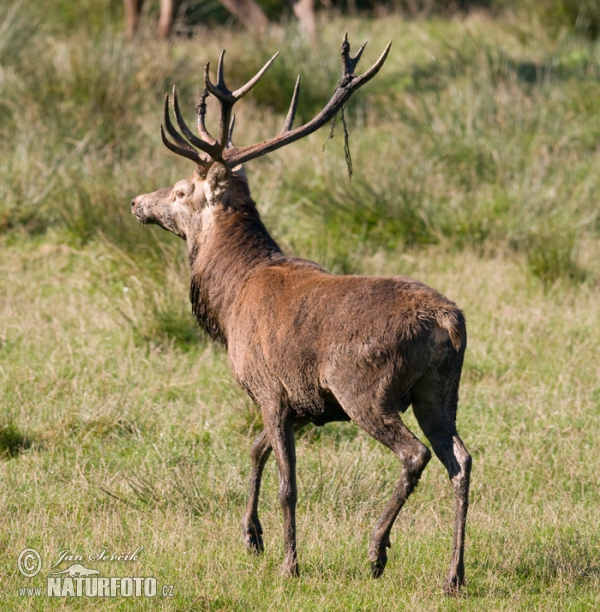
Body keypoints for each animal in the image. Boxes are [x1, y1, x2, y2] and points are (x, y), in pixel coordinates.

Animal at [131, 35, 474, 596]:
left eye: (181, 189)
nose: (139, 201)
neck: (229, 301)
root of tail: (450, 324)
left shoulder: (267, 385)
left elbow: (288, 482)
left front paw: (290, 562)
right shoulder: (300, 402)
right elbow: (256, 451)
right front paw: (251, 537)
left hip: (366, 389)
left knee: (415, 455)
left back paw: (376, 551)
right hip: (440, 392)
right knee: (461, 461)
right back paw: (453, 575)